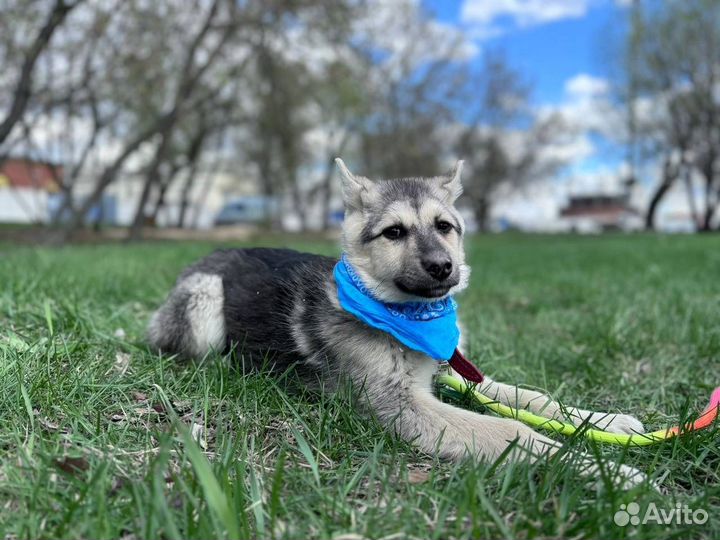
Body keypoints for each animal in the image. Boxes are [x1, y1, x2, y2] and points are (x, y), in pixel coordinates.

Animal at [149, 159, 648, 490]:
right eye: (394, 233)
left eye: (445, 226)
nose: (445, 269)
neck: (402, 316)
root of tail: (210, 253)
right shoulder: (401, 406)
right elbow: (514, 430)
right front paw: (606, 471)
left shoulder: (451, 371)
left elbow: (533, 400)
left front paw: (605, 422)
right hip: (205, 297)